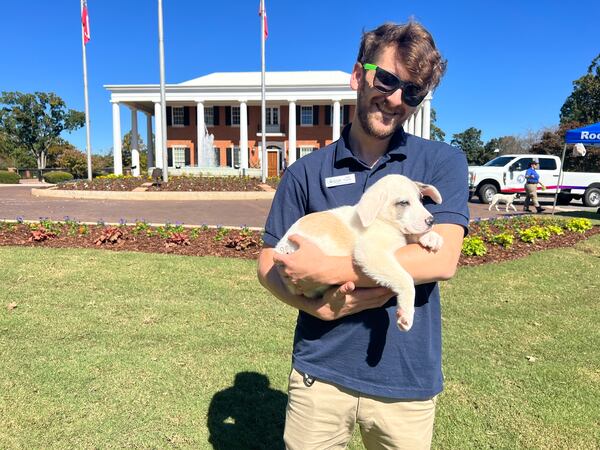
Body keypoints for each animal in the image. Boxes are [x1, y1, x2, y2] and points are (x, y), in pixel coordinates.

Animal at [276, 174, 440, 332]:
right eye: (404, 203)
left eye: (421, 200)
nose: (431, 221)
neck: (380, 219)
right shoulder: (370, 251)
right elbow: (405, 279)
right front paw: (406, 314)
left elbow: (410, 235)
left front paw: (430, 237)